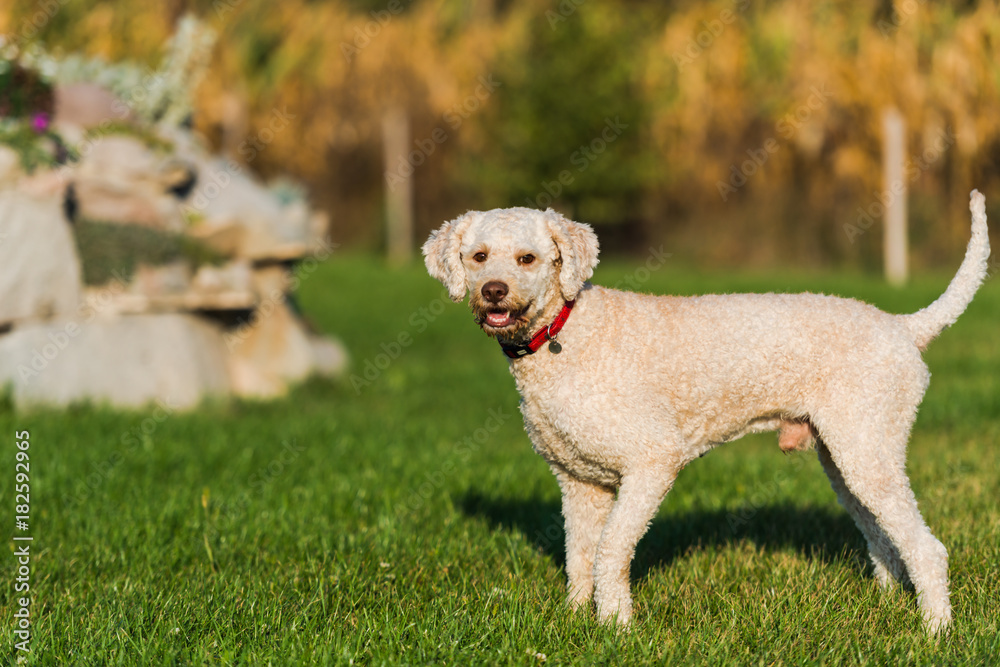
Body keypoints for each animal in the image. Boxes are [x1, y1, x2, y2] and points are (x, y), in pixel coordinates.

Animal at [420, 189, 984, 632]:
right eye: (478, 256)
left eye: (528, 259)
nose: (493, 291)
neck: (567, 331)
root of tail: (906, 327)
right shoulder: (580, 483)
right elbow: (579, 555)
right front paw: (580, 619)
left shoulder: (652, 462)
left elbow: (610, 550)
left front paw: (617, 625)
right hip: (847, 458)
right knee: (886, 540)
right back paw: (889, 605)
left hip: (867, 449)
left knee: (927, 548)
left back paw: (935, 630)